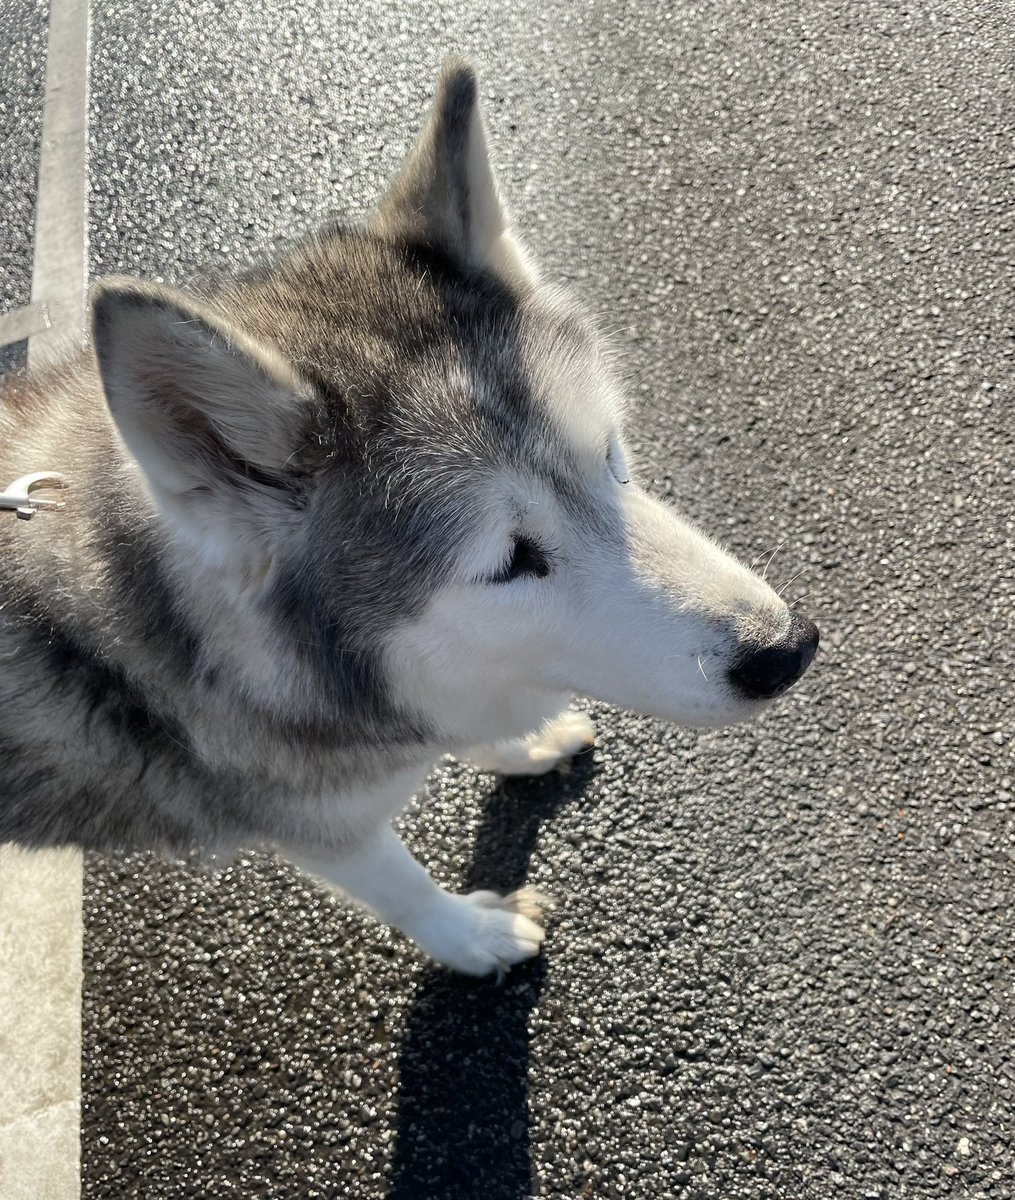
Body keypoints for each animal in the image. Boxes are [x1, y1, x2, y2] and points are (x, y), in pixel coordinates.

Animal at [0, 58, 820, 974]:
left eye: (608, 457)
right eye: (509, 560)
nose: (786, 650)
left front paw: (516, 744)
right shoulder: (324, 828)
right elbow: (403, 886)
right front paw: (472, 938)